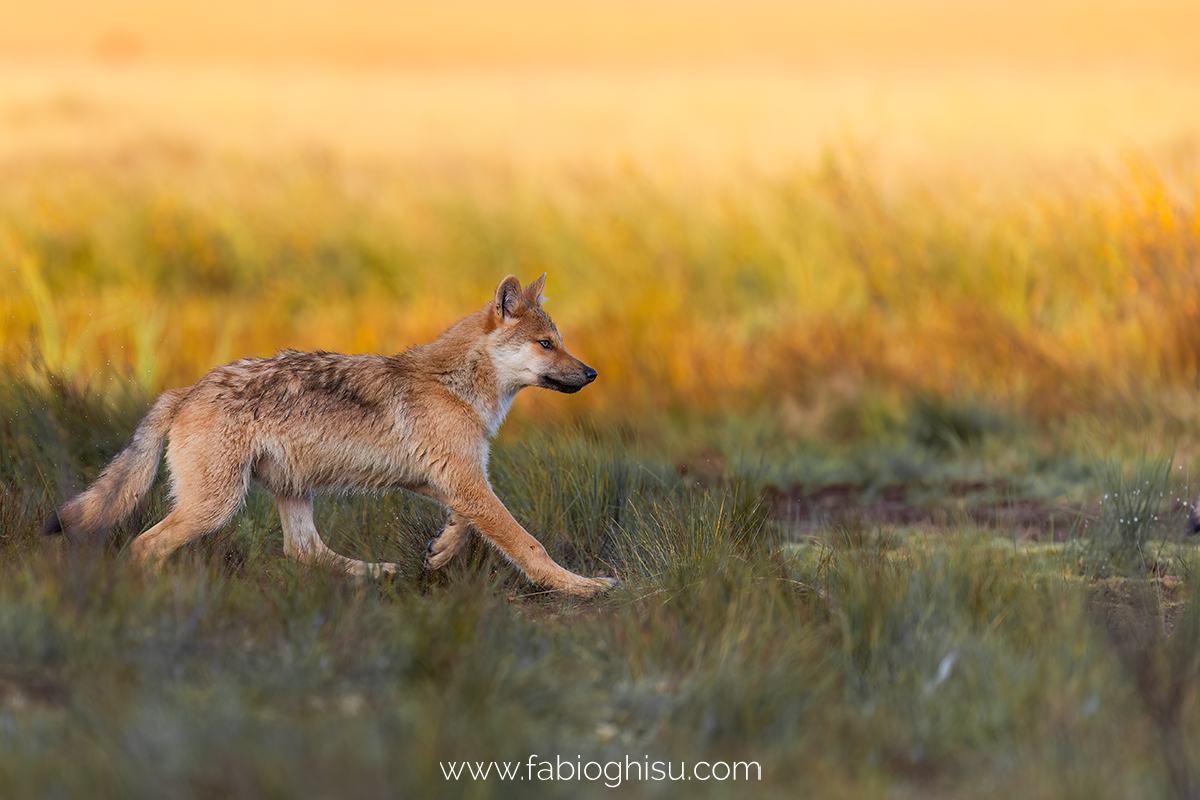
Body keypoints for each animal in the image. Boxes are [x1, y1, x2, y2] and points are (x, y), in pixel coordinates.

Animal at [43, 275, 614, 594]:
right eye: (546, 344)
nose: (591, 374)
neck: (458, 387)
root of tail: (185, 390)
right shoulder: (465, 480)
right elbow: (529, 545)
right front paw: (582, 587)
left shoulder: (450, 479)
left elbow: (469, 526)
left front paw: (441, 550)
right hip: (215, 506)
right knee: (145, 545)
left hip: (292, 491)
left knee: (305, 552)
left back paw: (381, 573)